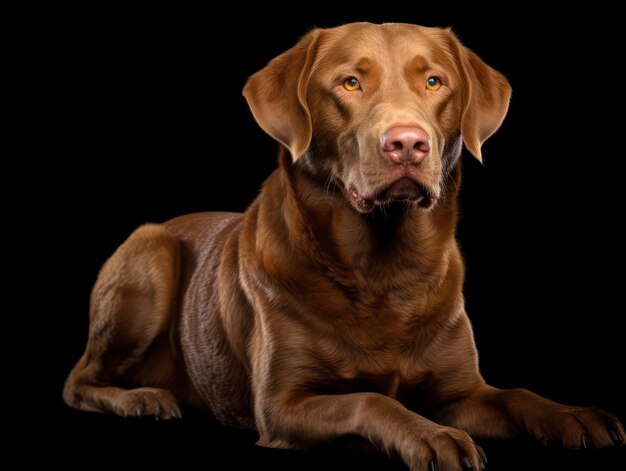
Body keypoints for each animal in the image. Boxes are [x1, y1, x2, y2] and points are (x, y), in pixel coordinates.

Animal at [66, 23, 620, 471]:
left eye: (434, 82)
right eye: (350, 82)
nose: (407, 143)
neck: (385, 271)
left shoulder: (462, 392)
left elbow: (514, 394)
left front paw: (573, 416)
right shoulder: (281, 405)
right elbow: (370, 401)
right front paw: (430, 436)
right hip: (150, 250)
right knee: (79, 380)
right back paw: (142, 398)